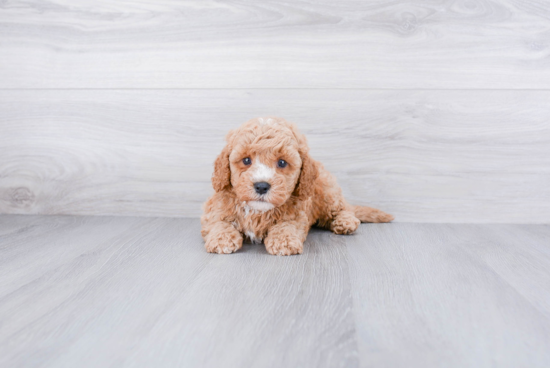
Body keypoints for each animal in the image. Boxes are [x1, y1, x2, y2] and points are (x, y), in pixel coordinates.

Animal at [201, 118, 394, 256]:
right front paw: (222, 239)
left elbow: (286, 226)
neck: (258, 211)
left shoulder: (296, 214)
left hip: (327, 192)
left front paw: (284, 242)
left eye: (282, 162)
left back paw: (345, 222)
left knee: (343, 208)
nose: (262, 186)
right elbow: (218, 222)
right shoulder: (215, 208)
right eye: (246, 160)